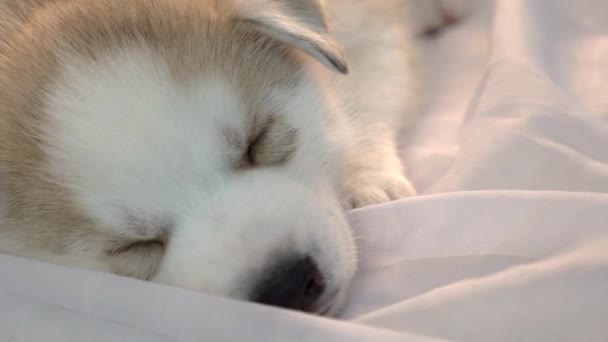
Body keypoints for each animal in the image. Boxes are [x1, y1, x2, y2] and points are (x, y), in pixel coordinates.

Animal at [0, 0, 460, 316]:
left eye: (257, 142)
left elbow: (368, 84)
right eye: (135, 247)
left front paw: (367, 179)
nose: (287, 284)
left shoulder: (366, 23)